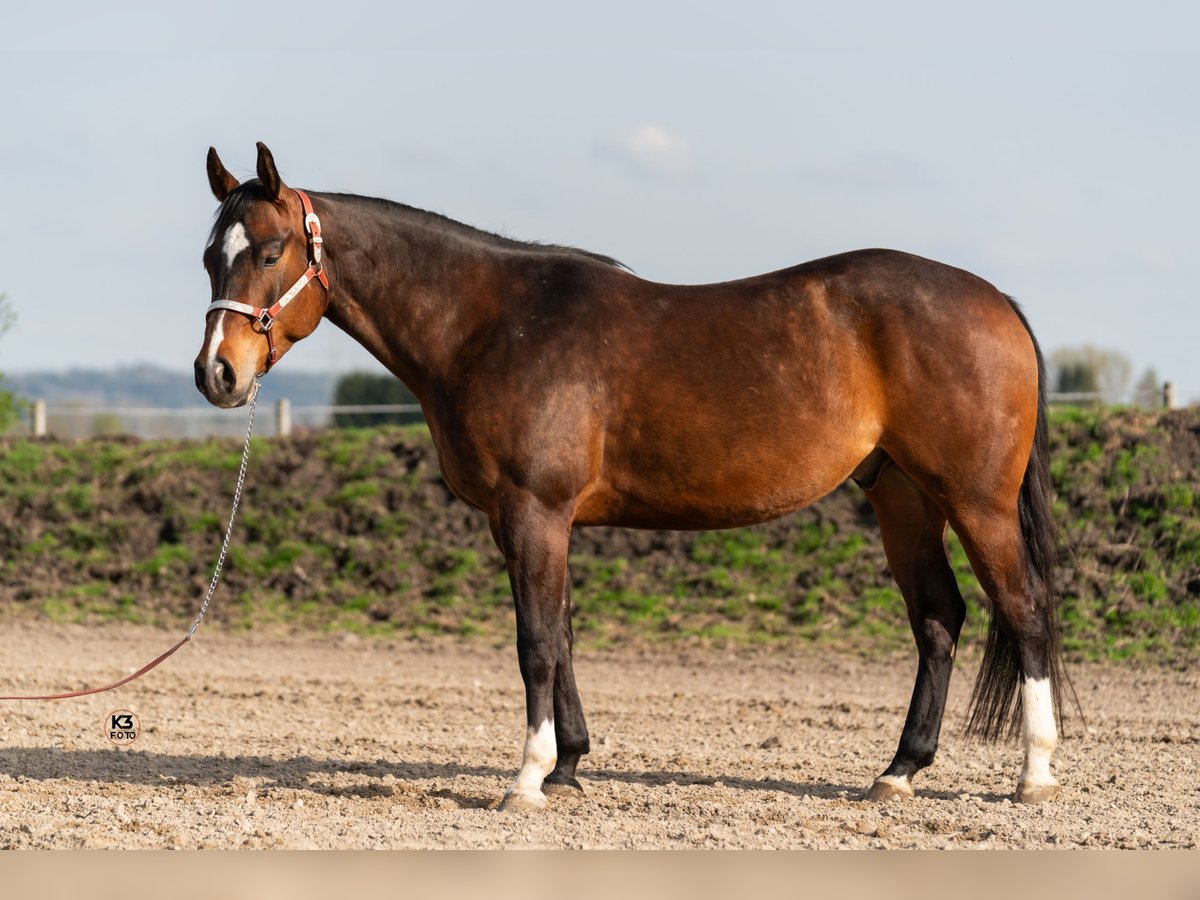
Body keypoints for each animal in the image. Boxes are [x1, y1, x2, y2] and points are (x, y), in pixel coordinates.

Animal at [192, 142, 1075, 811]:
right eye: (209, 257)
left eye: (269, 252)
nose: (217, 374)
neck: (491, 325)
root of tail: (993, 298)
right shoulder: (529, 522)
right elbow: (561, 634)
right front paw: (571, 766)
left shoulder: (534, 513)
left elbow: (535, 644)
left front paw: (527, 781)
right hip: (903, 496)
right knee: (939, 619)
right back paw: (898, 772)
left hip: (976, 501)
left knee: (1023, 609)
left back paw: (1033, 774)